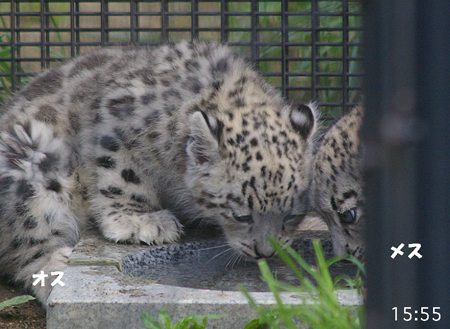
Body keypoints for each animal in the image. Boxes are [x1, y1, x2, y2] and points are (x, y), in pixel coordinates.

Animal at [0, 41, 320, 302]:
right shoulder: (113, 131)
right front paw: (139, 220)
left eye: (292, 215)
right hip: (30, 162)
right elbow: (122, 176)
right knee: (26, 246)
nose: (265, 253)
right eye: (241, 215)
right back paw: (57, 267)